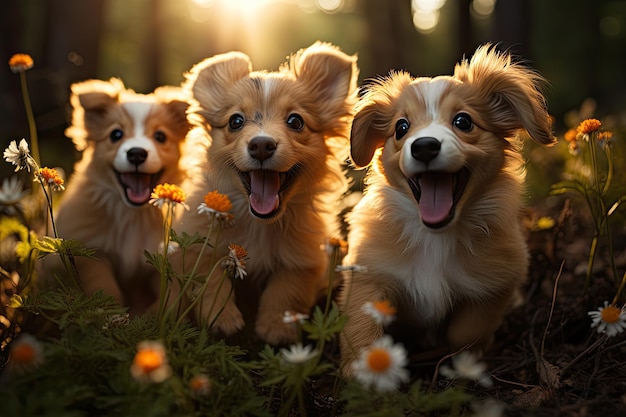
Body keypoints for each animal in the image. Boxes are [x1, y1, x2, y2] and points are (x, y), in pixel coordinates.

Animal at [338, 45, 552, 374]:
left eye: (463, 122)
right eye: (401, 128)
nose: (424, 146)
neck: (434, 239)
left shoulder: (494, 284)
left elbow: (467, 332)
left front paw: (464, 360)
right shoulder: (367, 276)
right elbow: (362, 329)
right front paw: (362, 374)